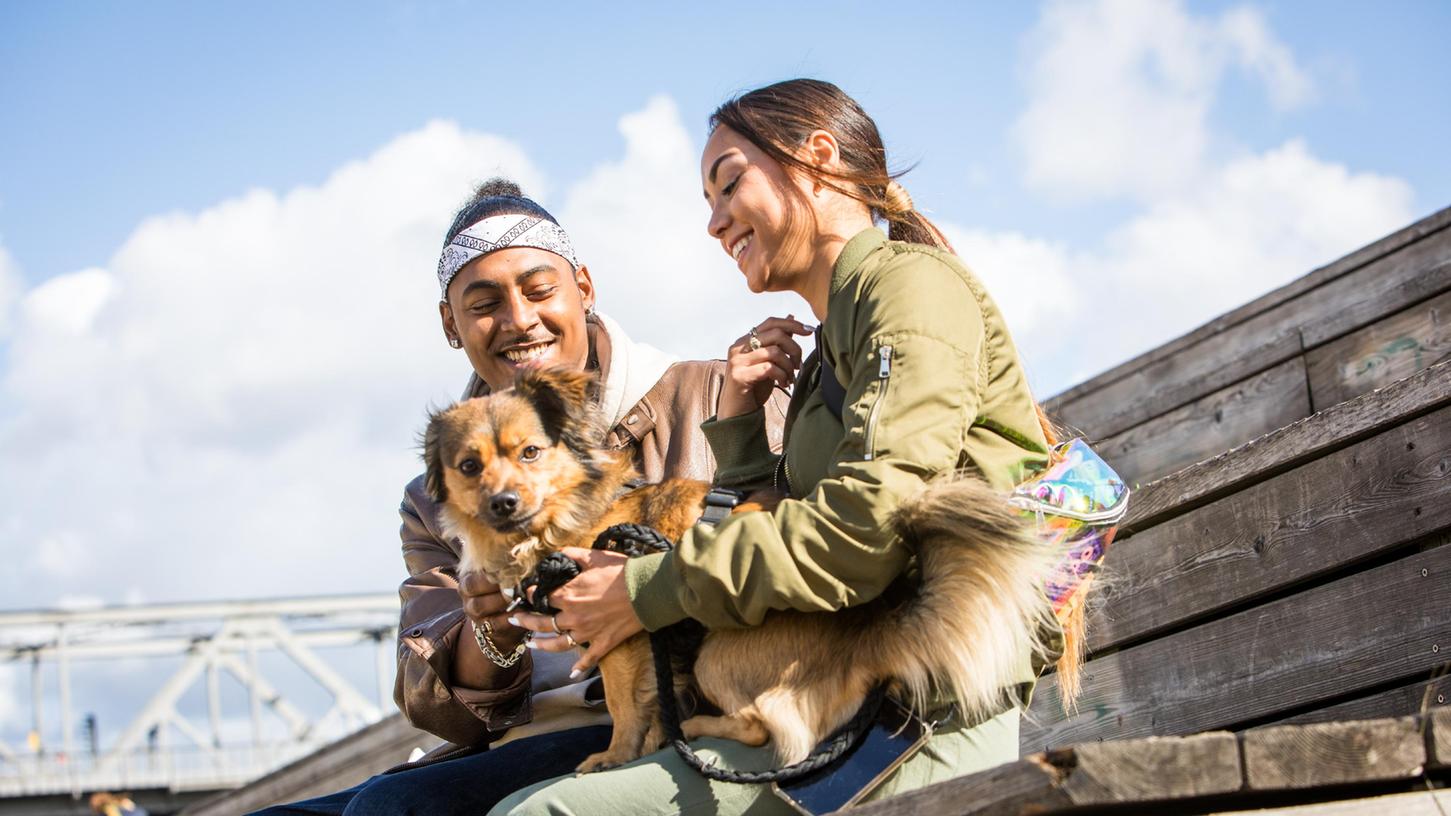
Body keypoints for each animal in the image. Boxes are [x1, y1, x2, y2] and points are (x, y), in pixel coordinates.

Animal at [423, 367, 1056, 766]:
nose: (504, 502)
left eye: (530, 452)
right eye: (469, 466)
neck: (560, 521)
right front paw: (650, 742)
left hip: (716, 656)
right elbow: (654, 702)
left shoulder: (620, 640)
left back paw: (700, 729)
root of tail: (872, 632)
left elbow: (626, 707)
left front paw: (613, 757)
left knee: (765, 727)